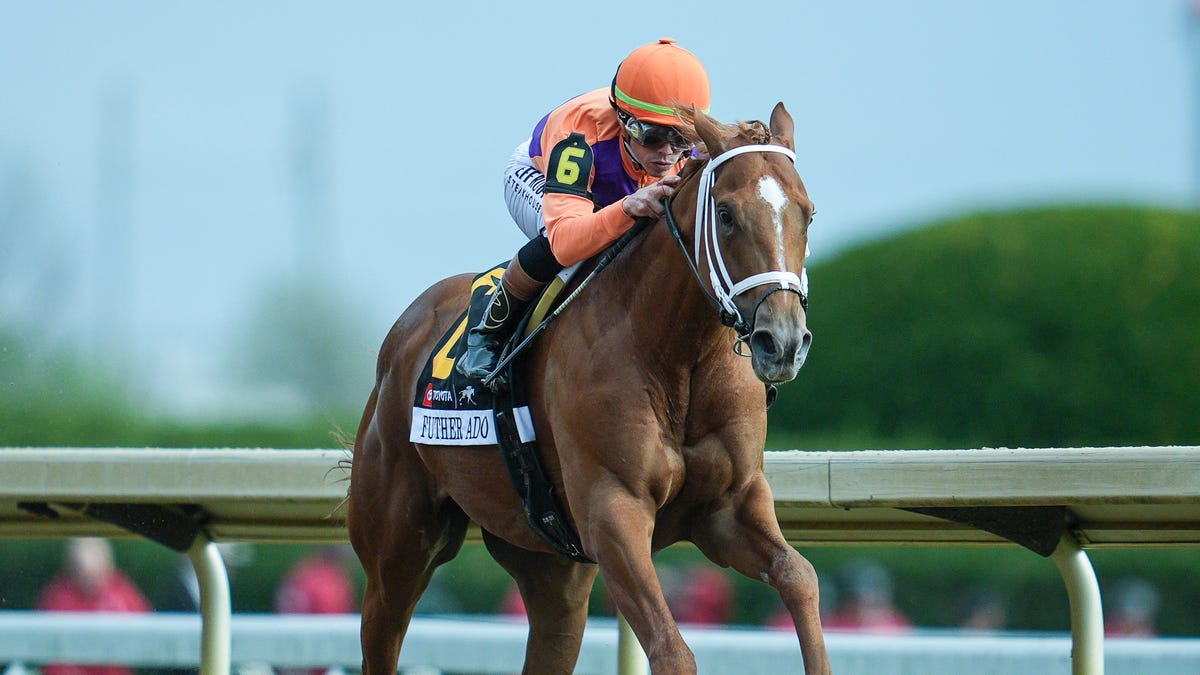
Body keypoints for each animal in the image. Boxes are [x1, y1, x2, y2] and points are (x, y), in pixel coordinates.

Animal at [347, 102, 830, 675]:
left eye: (808, 213)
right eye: (727, 214)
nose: (783, 341)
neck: (674, 356)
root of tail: (405, 331)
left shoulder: (728, 508)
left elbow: (800, 577)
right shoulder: (612, 513)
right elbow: (671, 650)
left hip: (552, 570)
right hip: (396, 551)